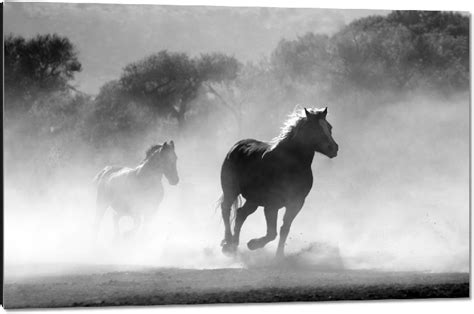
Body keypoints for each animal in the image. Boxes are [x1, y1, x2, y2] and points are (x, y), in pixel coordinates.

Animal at [220, 108, 338, 258]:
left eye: (329, 127)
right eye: (314, 128)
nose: (333, 148)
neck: (289, 166)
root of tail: (236, 146)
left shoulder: (296, 203)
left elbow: (284, 229)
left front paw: (279, 256)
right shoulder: (271, 205)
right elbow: (272, 233)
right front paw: (252, 244)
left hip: (253, 200)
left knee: (241, 214)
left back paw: (234, 245)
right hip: (231, 190)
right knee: (226, 209)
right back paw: (228, 243)